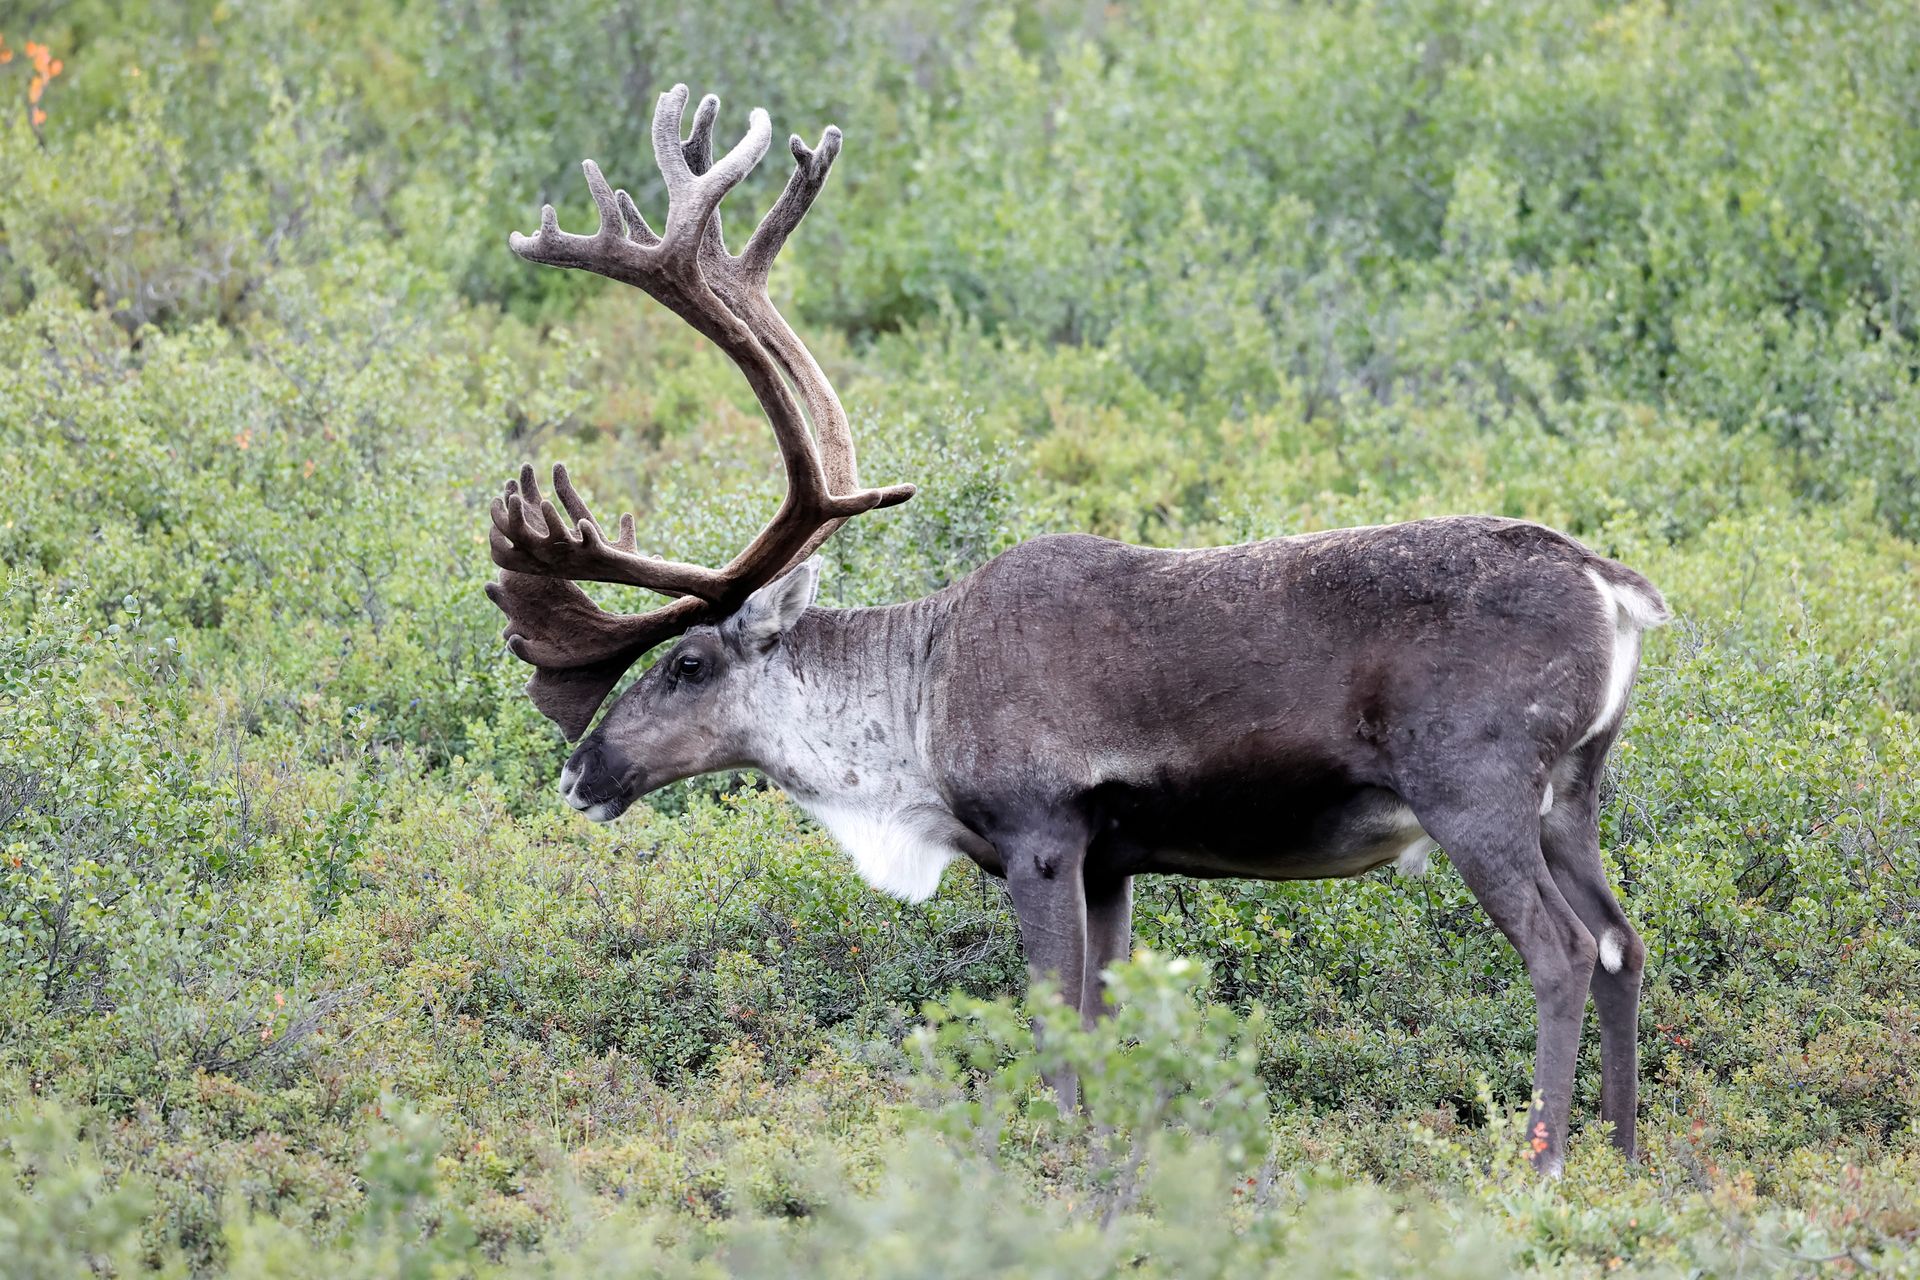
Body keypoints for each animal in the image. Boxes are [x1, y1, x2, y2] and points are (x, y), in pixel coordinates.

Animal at [485, 84, 1670, 1175]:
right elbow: (1103, 1023)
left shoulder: (1044, 835)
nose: (580, 772)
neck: (915, 712)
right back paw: (1623, 1158)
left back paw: (1545, 1163)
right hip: (1574, 792)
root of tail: (1613, 585)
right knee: (1624, 941)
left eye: (687, 661)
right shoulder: (1116, 860)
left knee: (1565, 950)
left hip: (1475, 785)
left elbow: (1056, 1025)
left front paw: (1055, 1161)